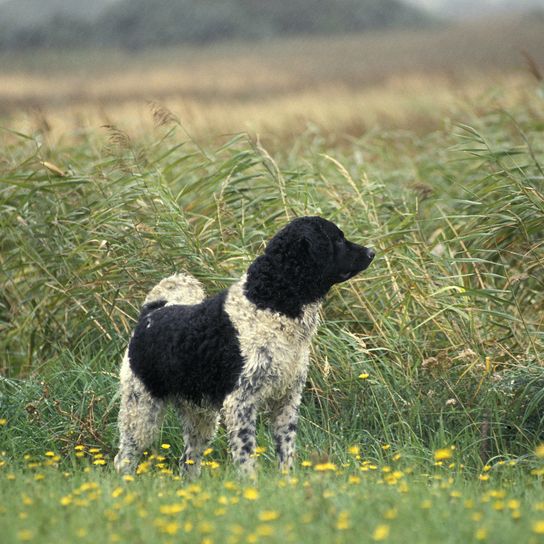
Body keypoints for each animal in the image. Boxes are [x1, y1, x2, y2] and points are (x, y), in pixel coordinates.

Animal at [113, 215, 374, 478]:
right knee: (124, 458)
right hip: (141, 410)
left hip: (200, 417)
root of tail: (151, 313)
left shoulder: (287, 400)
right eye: (337, 239)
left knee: (188, 462)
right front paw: (250, 484)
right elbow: (246, 455)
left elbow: (286, 453)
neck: (270, 303)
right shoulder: (241, 401)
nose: (372, 252)